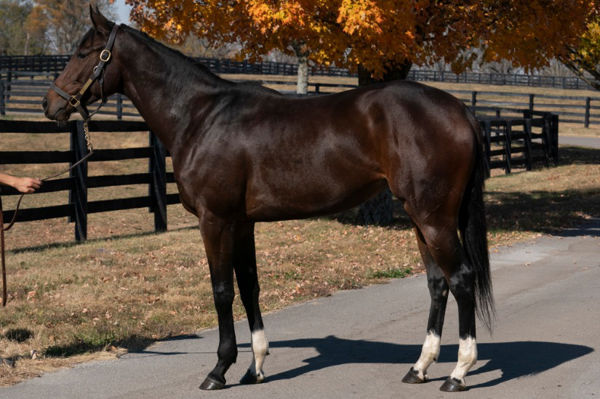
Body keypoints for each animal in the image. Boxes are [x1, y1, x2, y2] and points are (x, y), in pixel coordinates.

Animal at [41, 7, 492, 394]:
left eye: (83, 53)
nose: (51, 104)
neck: (200, 117)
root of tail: (459, 110)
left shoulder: (215, 219)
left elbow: (222, 290)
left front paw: (219, 370)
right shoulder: (242, 222)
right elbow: (250, 286)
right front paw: (255, 366)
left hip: (433, 218)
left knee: (461, 278)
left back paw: (459, 372)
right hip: (420, 218)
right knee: (437, 284)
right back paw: (419, 368)